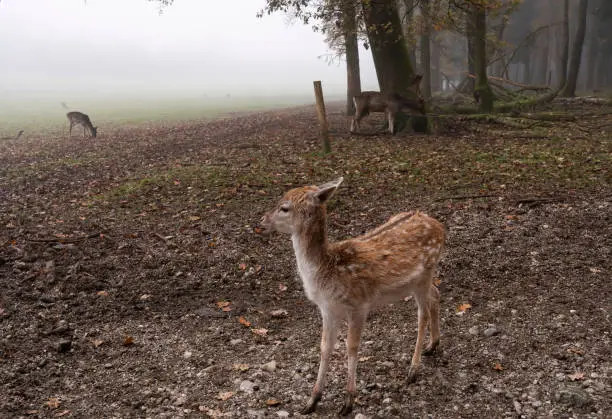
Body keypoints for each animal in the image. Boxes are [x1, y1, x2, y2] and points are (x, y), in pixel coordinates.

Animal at [258, 177, 444, 416]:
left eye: (284, 207)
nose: (263, 220)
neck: (328, 271)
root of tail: (440, 226)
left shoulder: (359, 305)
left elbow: (351, 347)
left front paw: (348, 402)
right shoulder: (327, 309)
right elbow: (325, 347)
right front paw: (311, 401)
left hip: (424, 275)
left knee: (422, 314)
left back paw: (413, 370)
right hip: (417, 282)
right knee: (435, 294)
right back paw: (433, 344)